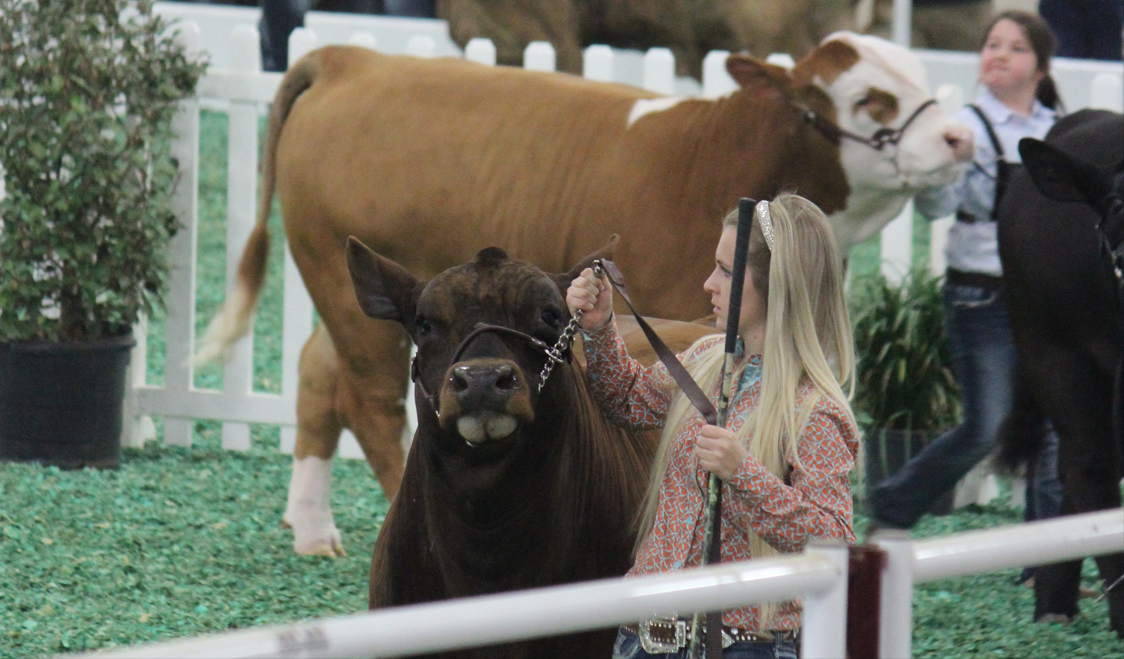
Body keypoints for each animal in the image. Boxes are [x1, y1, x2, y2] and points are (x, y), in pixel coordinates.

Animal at [197, 32, 971, 553]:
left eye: (915, 71)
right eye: (871, 99)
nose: (961, 137)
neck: (715, 152)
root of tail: (352, 57)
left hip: (356, 284)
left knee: (315, 366)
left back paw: (311, 524)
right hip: (344, 281)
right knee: (368, 398)